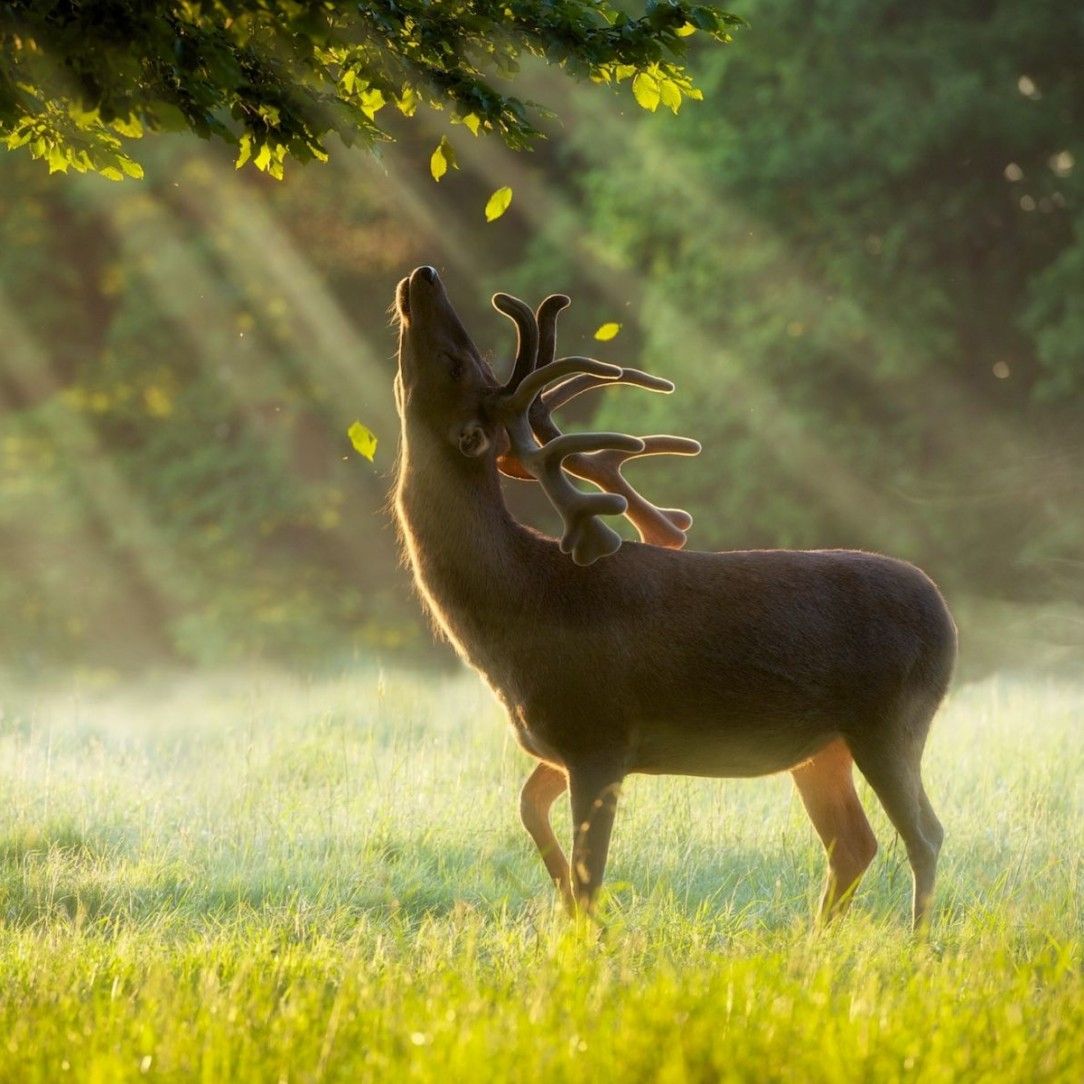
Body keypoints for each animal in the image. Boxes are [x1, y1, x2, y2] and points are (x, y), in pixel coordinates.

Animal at [392, 264, 958, 932]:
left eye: (457, 362)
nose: (424, 275)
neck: (517, 614)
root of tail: (945, 616)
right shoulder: (561, 743)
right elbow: (530, 810)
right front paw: (565, 908)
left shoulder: (599, 733)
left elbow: (590, 873)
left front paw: (587, 935)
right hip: (823, 748)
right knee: (854, 841)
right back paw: (818, 941)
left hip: (892, 718)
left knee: (924, 834)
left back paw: (916, 942)